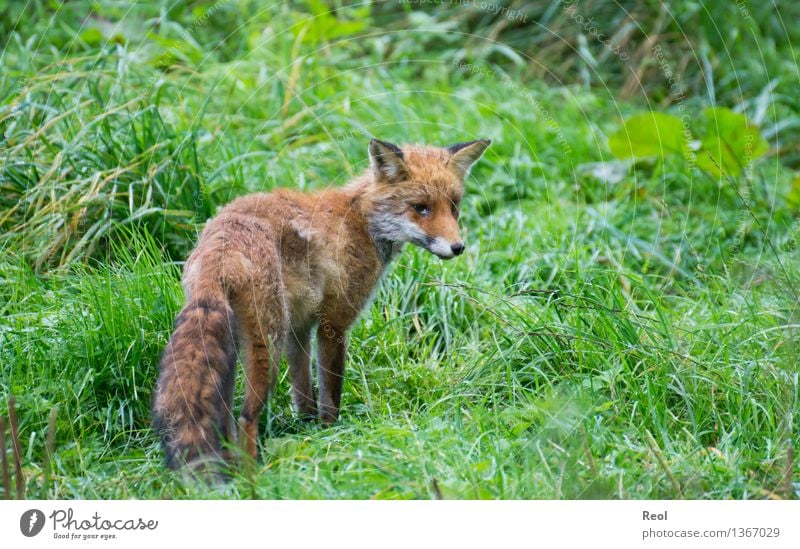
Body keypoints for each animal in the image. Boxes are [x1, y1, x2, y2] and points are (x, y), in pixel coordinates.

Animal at [150, 138, 488, 470]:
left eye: (454, 207)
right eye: (420, 208)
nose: (458, 247)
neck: (361, 221)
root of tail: (220, 247)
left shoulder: (299, 328)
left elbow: (303, 391)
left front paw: (308, 431)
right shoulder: (334, 323)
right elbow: (331, 391)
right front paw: (330, 433)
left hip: (233, 348)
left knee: (225, 420)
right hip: (267, 345)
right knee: (245, 417)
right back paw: (252, 476)